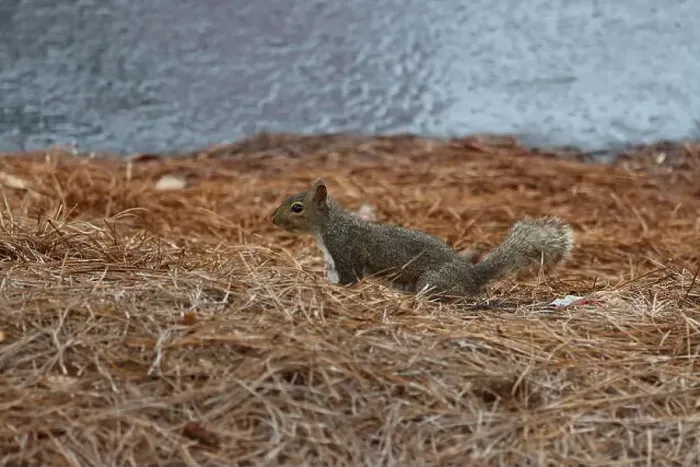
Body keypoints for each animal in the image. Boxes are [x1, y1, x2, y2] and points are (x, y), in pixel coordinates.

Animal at [270, 178, 574, 298]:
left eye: (297, 207)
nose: (272, 219)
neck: (329, 228)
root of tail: (471, 277)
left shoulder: (346, 253)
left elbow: (348, 280)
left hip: (433, 280)